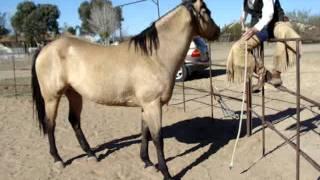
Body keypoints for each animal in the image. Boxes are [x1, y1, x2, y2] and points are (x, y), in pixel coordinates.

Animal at [31, 0, 220, 179]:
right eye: (207, 11)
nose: (217, 31)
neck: (154, 57)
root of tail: (44, 48)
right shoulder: (153, 104)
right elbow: (157, 139)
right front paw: (166, 173)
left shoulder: (146, 106)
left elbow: (145, 133)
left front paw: (147, 162)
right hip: (52, 97)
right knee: (50, 124)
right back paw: (58, 159)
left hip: (74, 93)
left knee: (74, 121)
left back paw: (91, 155)